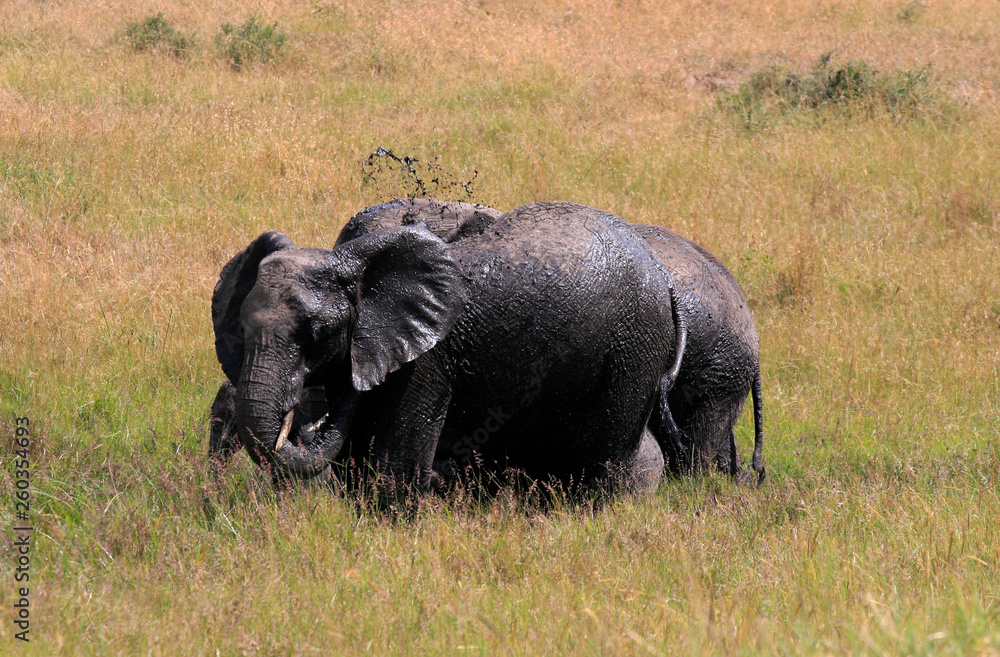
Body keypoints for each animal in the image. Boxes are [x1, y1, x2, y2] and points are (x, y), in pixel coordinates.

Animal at [210, 201, 686, 503]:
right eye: (242, 329)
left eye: (319, 332)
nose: (299, 419)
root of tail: (664, 277)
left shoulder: (427, 362)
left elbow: (393, 472)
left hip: (633, 350)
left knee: (601, 465)